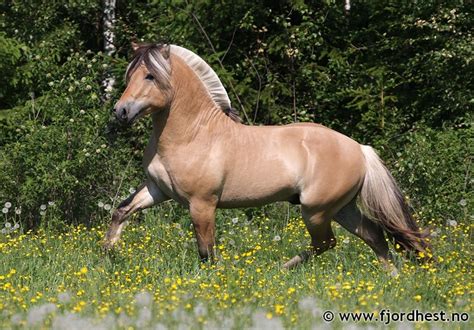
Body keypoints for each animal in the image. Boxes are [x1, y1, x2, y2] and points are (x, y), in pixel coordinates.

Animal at [104, 43, 430, 270]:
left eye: (150, 75)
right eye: (130, 75)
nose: (121, 111)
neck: (194, 134)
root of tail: (360, 149)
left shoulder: (202, 204)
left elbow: (206, 250)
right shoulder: (158, 190)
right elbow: (121, 211)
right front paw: (107, 253)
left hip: (316, 210)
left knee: (327, 242)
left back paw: (282, 267)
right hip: (342, 208)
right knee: (373, 235)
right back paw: (392, 278)